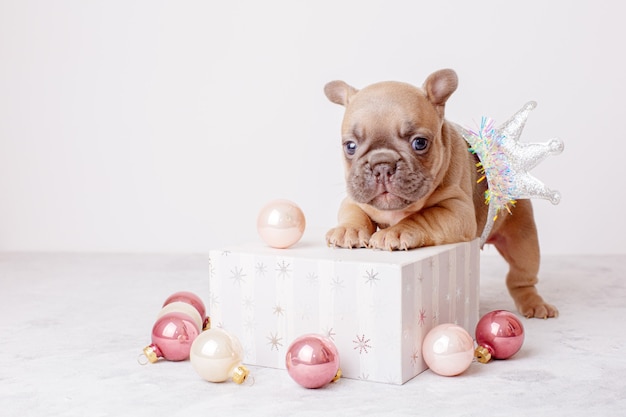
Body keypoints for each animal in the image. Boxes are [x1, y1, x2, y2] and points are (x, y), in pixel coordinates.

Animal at [322, 70, 556, 320]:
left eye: (420, 143)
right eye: (350, 146)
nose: (382, 165)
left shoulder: (457, 211)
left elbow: (422, 216)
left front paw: (396, 232)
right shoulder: (354, 197)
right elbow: (353, 213)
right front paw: (349, 231)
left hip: (522, 236)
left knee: (522, 277)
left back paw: (535, 304)